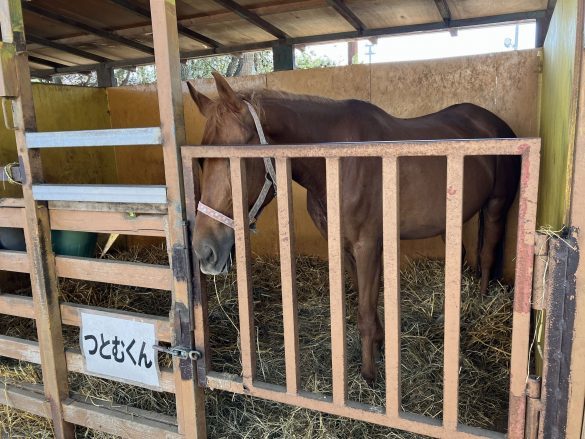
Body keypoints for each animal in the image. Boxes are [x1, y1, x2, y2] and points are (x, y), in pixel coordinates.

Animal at [188, 70, 520, 384]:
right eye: (201, 161)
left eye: (235, 162)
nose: (204, 251)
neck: (337, 164)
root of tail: (495, 123)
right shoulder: (345, 246)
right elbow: (367, 302)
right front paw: (380, 344)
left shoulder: (367, 245)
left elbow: (365, 313)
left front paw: (370, 375)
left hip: (496, 206)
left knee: (487, 254)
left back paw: (479, 302)